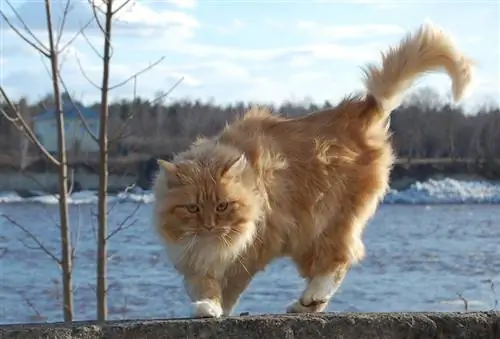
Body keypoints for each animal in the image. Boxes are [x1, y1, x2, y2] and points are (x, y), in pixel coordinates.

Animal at [152, 21, 472, 318]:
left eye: (222, 206)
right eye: (193, 208)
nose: (209, 226)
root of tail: (360, 110)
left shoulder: (254, 248)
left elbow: (230, 286)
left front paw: (219, 308)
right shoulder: (192, 258)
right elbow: (203, 284)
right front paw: (206, 305)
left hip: (328, 223)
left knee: (340, 260)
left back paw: (312, 295)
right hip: (306, 238)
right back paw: (305, 304)